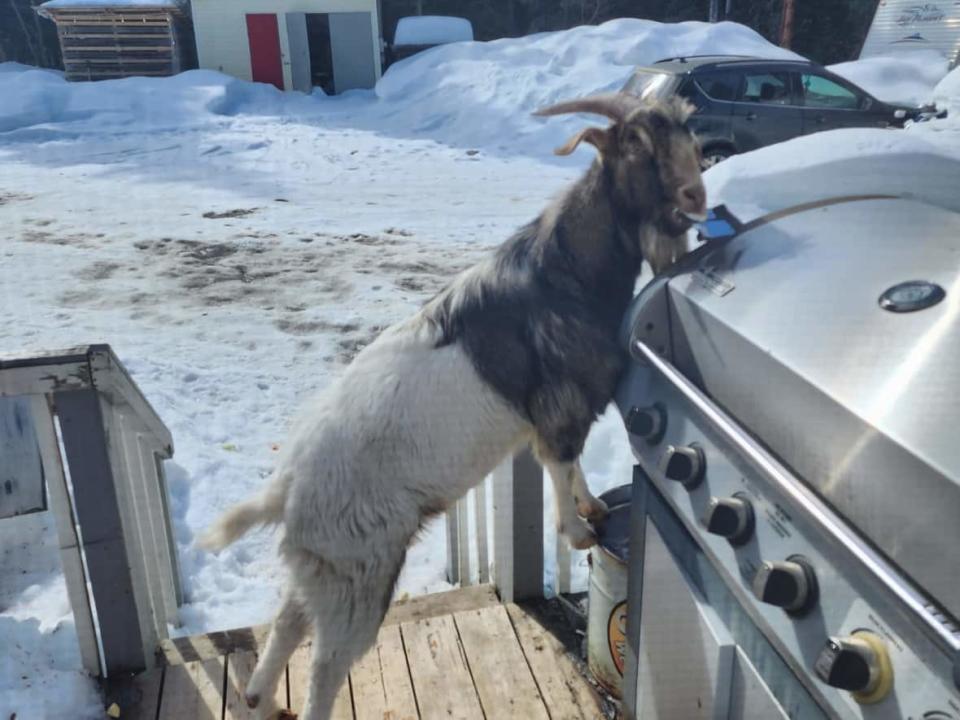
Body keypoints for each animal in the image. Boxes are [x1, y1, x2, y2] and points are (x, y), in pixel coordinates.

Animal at [199, 94, 708, 720]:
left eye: (689, 131)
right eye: (634, 143)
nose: (695, 196)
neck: (564, 271)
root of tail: (286, 489)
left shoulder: (558, 413)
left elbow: (572, 465)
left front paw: (592, 509)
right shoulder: (560, 403)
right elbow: (561, 463)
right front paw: (579, 531)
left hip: (323, 567)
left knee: (290, 620)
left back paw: (262, 698)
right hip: (360, 572)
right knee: (325, 663)